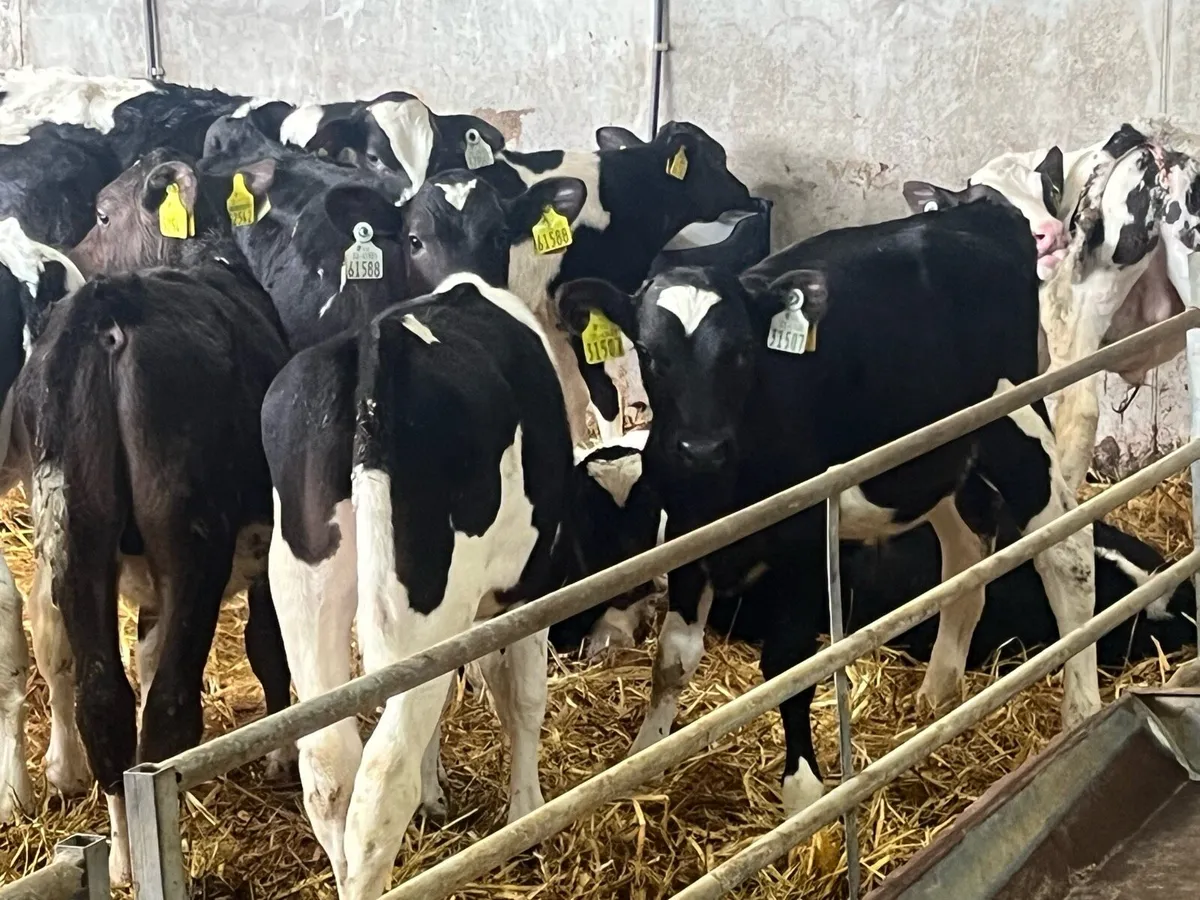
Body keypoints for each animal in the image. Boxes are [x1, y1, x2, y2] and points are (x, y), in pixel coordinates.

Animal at [555, 181, 1108, 819]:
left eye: (741, 349)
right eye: (648, 352)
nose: (700, 447)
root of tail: (981, 211)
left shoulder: (800, 541)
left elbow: (790, 666)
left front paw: (804, 792)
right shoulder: (691, 535)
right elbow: (672, 659)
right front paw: (645, 756)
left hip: (1014, 418)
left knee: (1068, 552)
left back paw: (1081, 711)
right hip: (931, 457)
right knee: (966, 555)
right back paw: (937, 693)